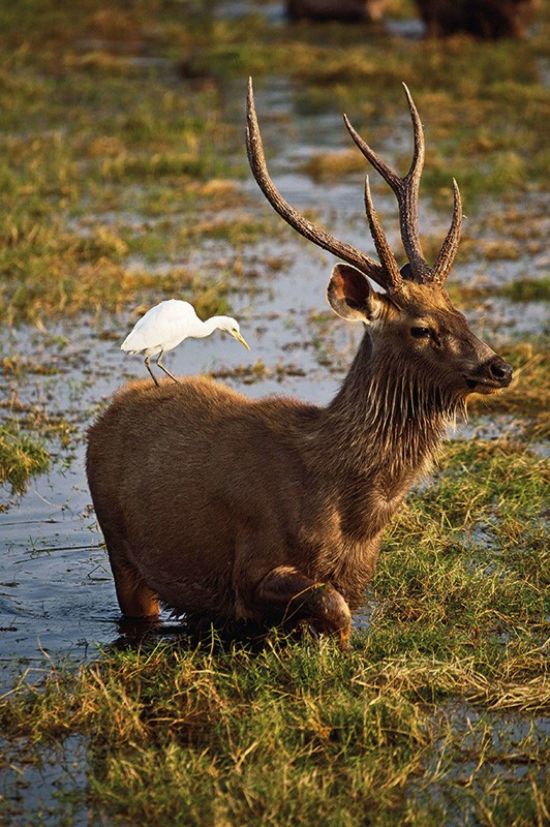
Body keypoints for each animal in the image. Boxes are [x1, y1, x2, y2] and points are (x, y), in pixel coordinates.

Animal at [86, 79, 513, 648]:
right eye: (421, 328)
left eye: (461, 313)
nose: (498, 368)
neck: (345, 510)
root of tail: (103, 419)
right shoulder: (251, 566)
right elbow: (335, 610)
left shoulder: (357, 576)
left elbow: (339, 605)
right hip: (119, 546)